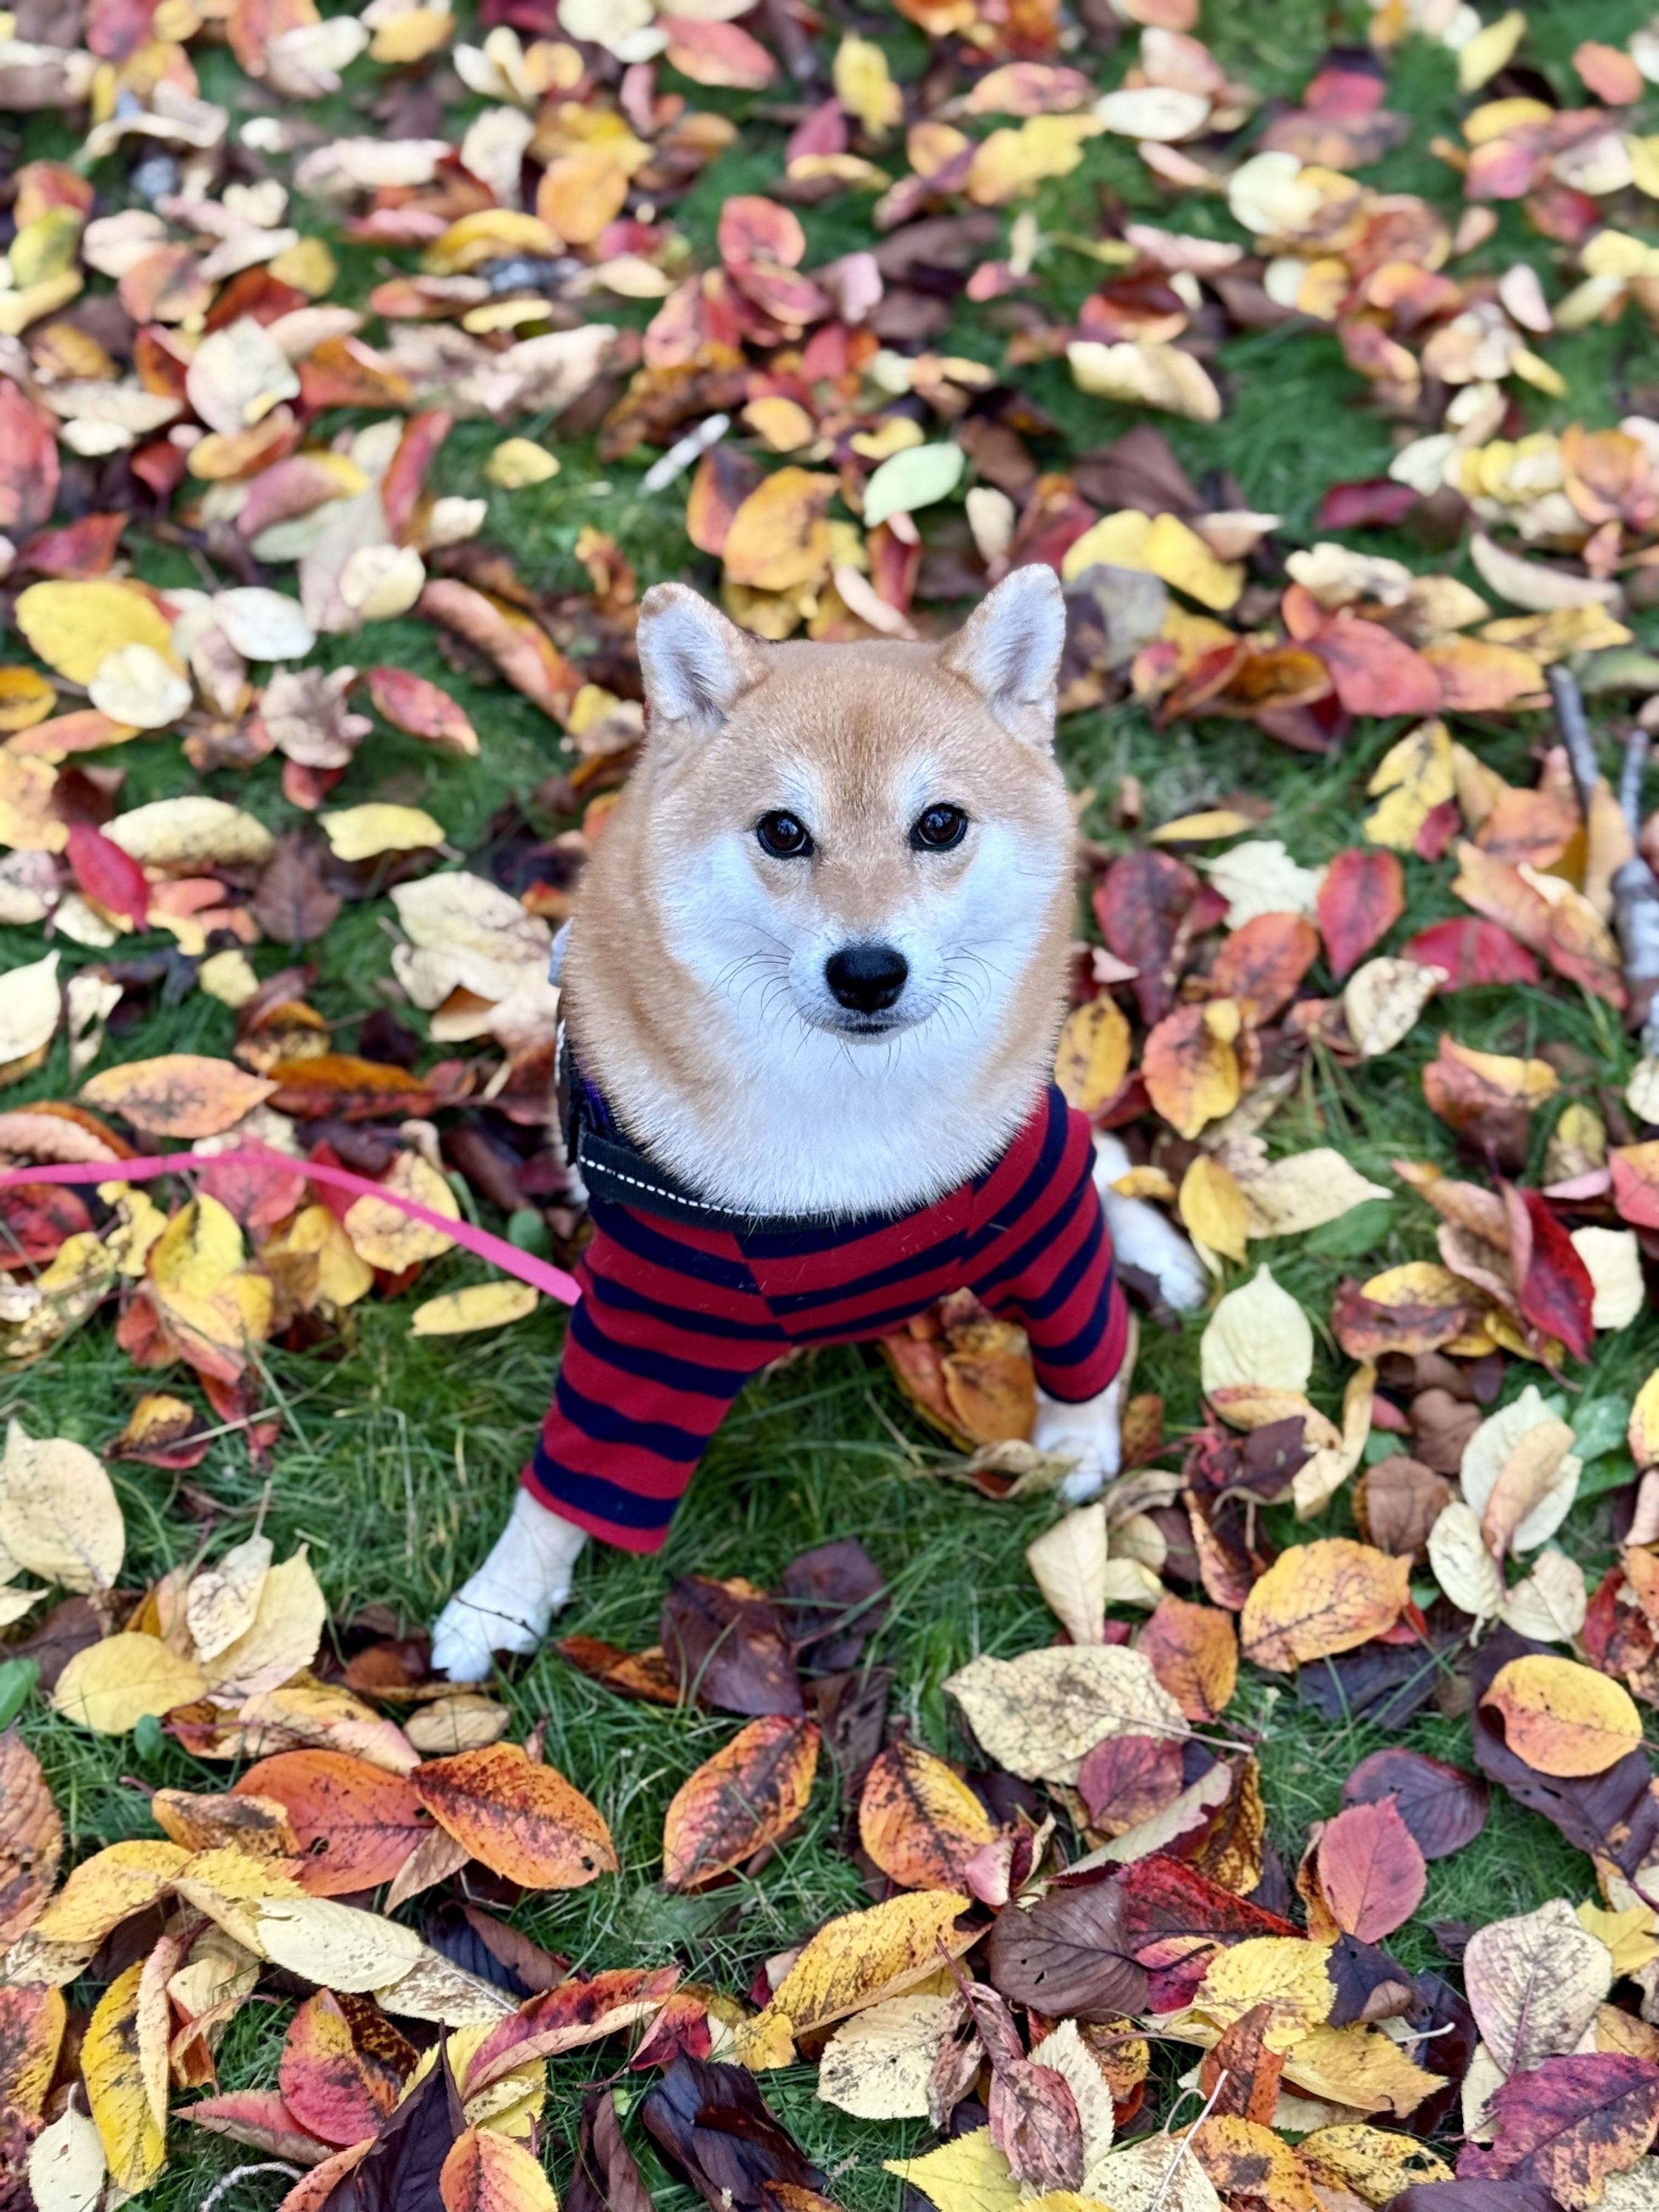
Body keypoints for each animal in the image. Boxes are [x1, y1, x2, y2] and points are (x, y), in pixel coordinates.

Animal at [430, 566, 1205, 1683]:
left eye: (939, 825)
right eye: (783, 832)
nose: (868, 971)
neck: (847, 1119)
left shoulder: (1041, 1219)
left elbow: (1085, 1335)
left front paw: (1077, 1439)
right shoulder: (645, 1323)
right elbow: (569, 1482)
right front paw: (501, 1600)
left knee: (1102, 1156)